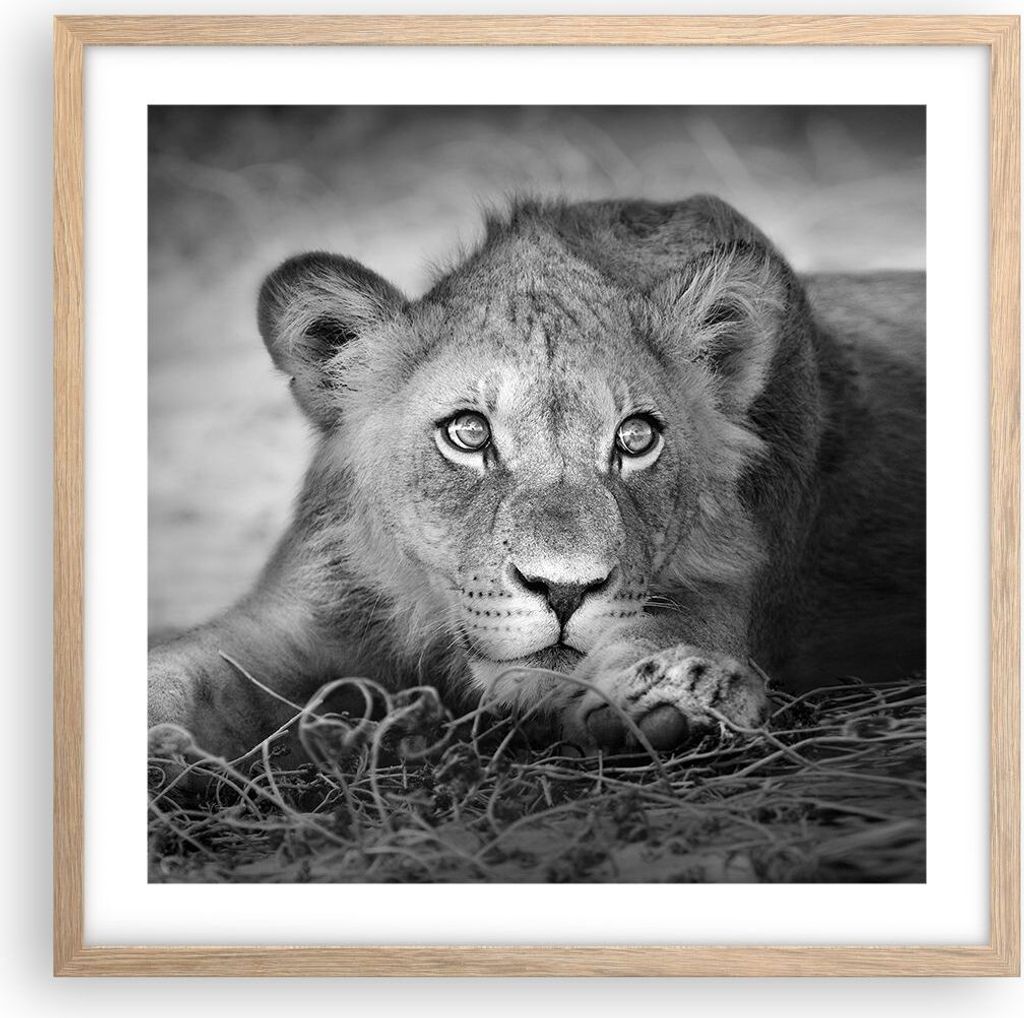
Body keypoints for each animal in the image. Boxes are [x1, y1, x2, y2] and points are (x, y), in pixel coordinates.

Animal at [149, 195, 925, 760]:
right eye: (468, 433)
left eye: (636, 439)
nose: (564, 590)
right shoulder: (302, 611)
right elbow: (175, 672)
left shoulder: (728, 589)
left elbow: (670, 634)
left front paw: (679, 694)